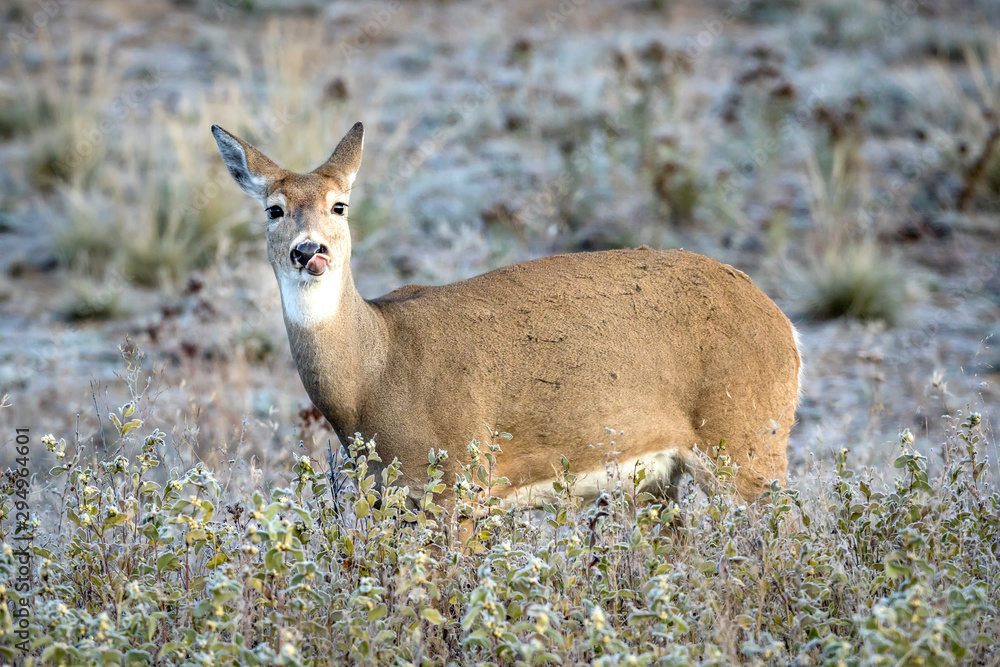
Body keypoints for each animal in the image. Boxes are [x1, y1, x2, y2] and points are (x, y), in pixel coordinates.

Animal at [211, 121, 801, 509]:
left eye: (340, 205)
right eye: (274, 209)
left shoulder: (460, 479)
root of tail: (784, 325)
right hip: (661, 477)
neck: (375, 371)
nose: (310, 251)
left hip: (747, 441)